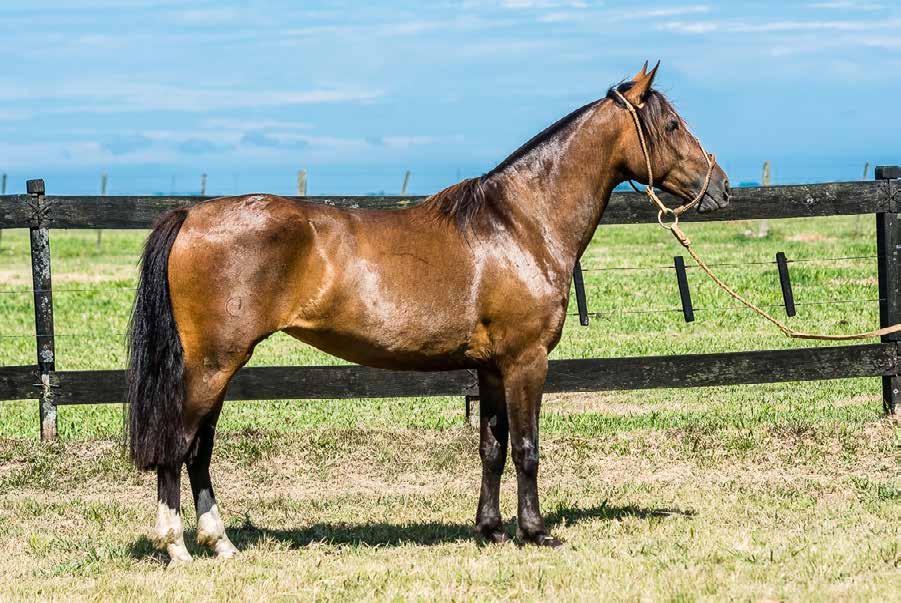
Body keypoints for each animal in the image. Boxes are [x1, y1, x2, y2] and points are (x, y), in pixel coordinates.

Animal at [126, 63, 732, 564]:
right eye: (671, 124)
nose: (721, 188)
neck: (518, 225)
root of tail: (192, 214)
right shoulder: (525, 361)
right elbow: (527, 448)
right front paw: (535, 531)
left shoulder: (490, 368)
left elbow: (491, 448)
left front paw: (490, 530)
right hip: (213, 364)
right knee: (177, 447)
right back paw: (177, 546)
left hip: (219, 367)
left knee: (199, 450)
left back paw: (221, 543)